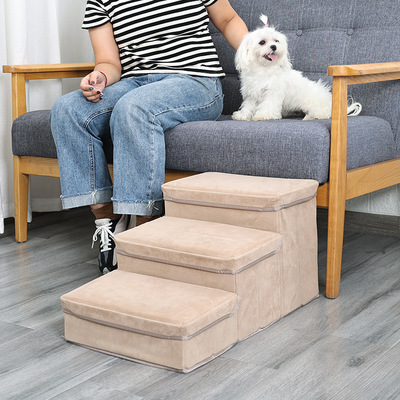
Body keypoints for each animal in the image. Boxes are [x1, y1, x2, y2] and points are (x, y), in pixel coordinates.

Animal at [232, 15, 361, 121]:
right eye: (262, 42)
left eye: (276, 41)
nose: (274, 47)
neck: (264, 69)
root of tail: (330, 103)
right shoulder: (251, 92)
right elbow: (248, 105)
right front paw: (242, 115)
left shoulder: (273, 92)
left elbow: (268, 104)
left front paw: (264, 115)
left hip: (311, 103)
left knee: (324, 113)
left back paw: (311, 116)